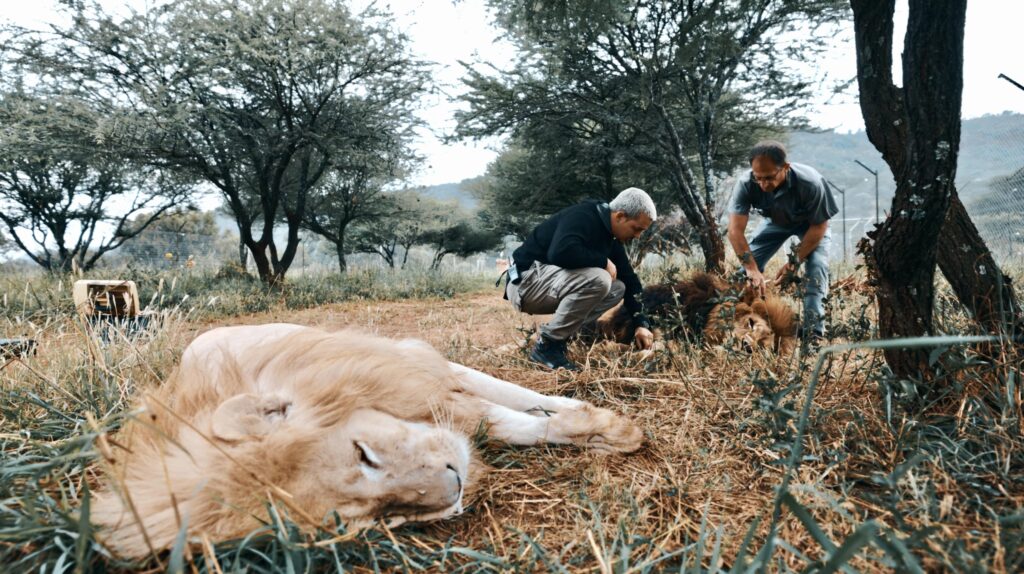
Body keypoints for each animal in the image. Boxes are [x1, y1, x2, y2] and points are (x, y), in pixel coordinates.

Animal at [91, 323, 643, 559]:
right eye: (380, 516)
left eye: (364, 454)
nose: (455, 488)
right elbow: (505, 421)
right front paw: (599, 428)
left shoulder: (412, 364)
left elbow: (509, 398)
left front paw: (612, 426)